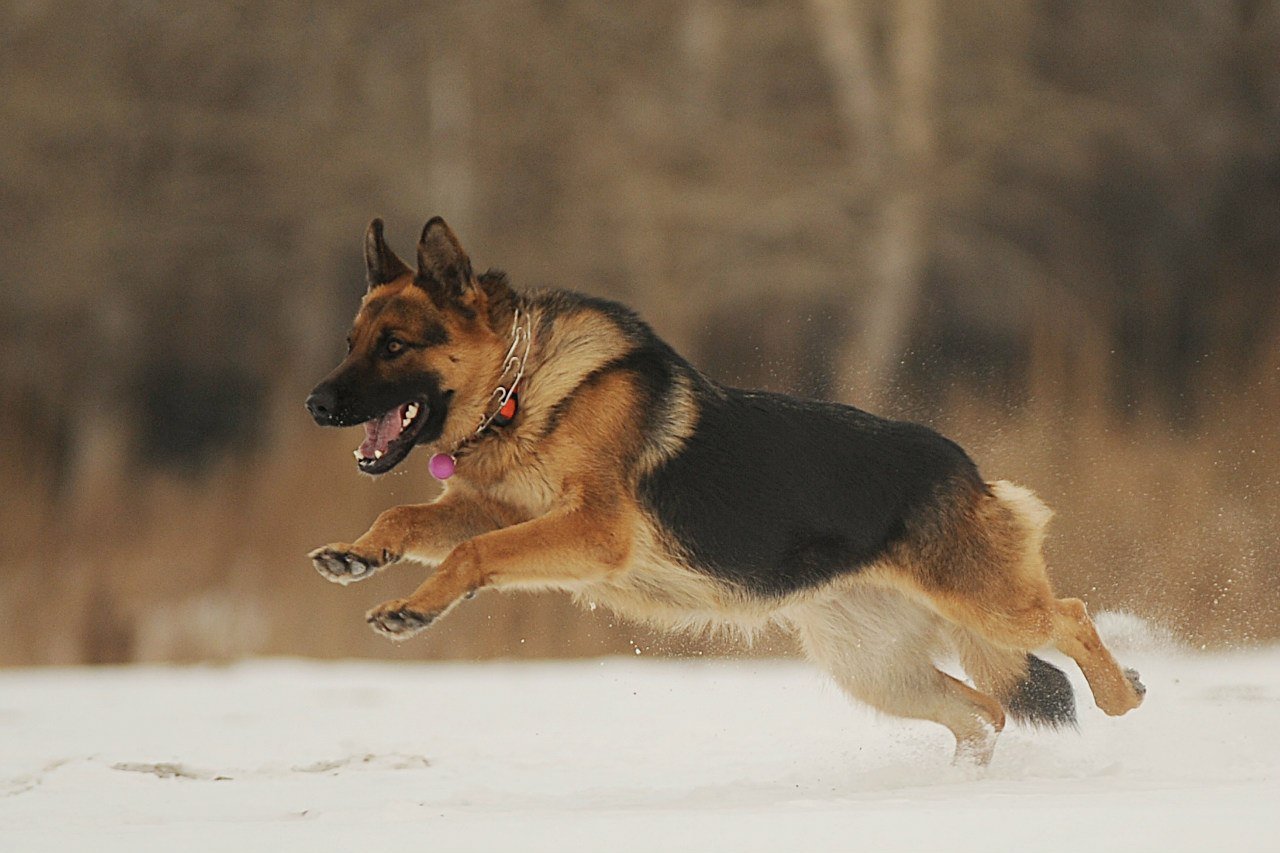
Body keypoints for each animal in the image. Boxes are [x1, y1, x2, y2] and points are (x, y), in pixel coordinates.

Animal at [304, 216, 1146, 758]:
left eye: (395, 345)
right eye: (351, 342)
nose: (315, 403)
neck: (524, 390)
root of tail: (967, 468)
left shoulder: (591, 532)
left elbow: (470, 554)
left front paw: (414, 607)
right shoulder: (497, 506)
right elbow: (406, 513)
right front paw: (360, 554)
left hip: (987, 605)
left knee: (1071, 618)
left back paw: (1125, 696)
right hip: (878, 669)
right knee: (985, 711)